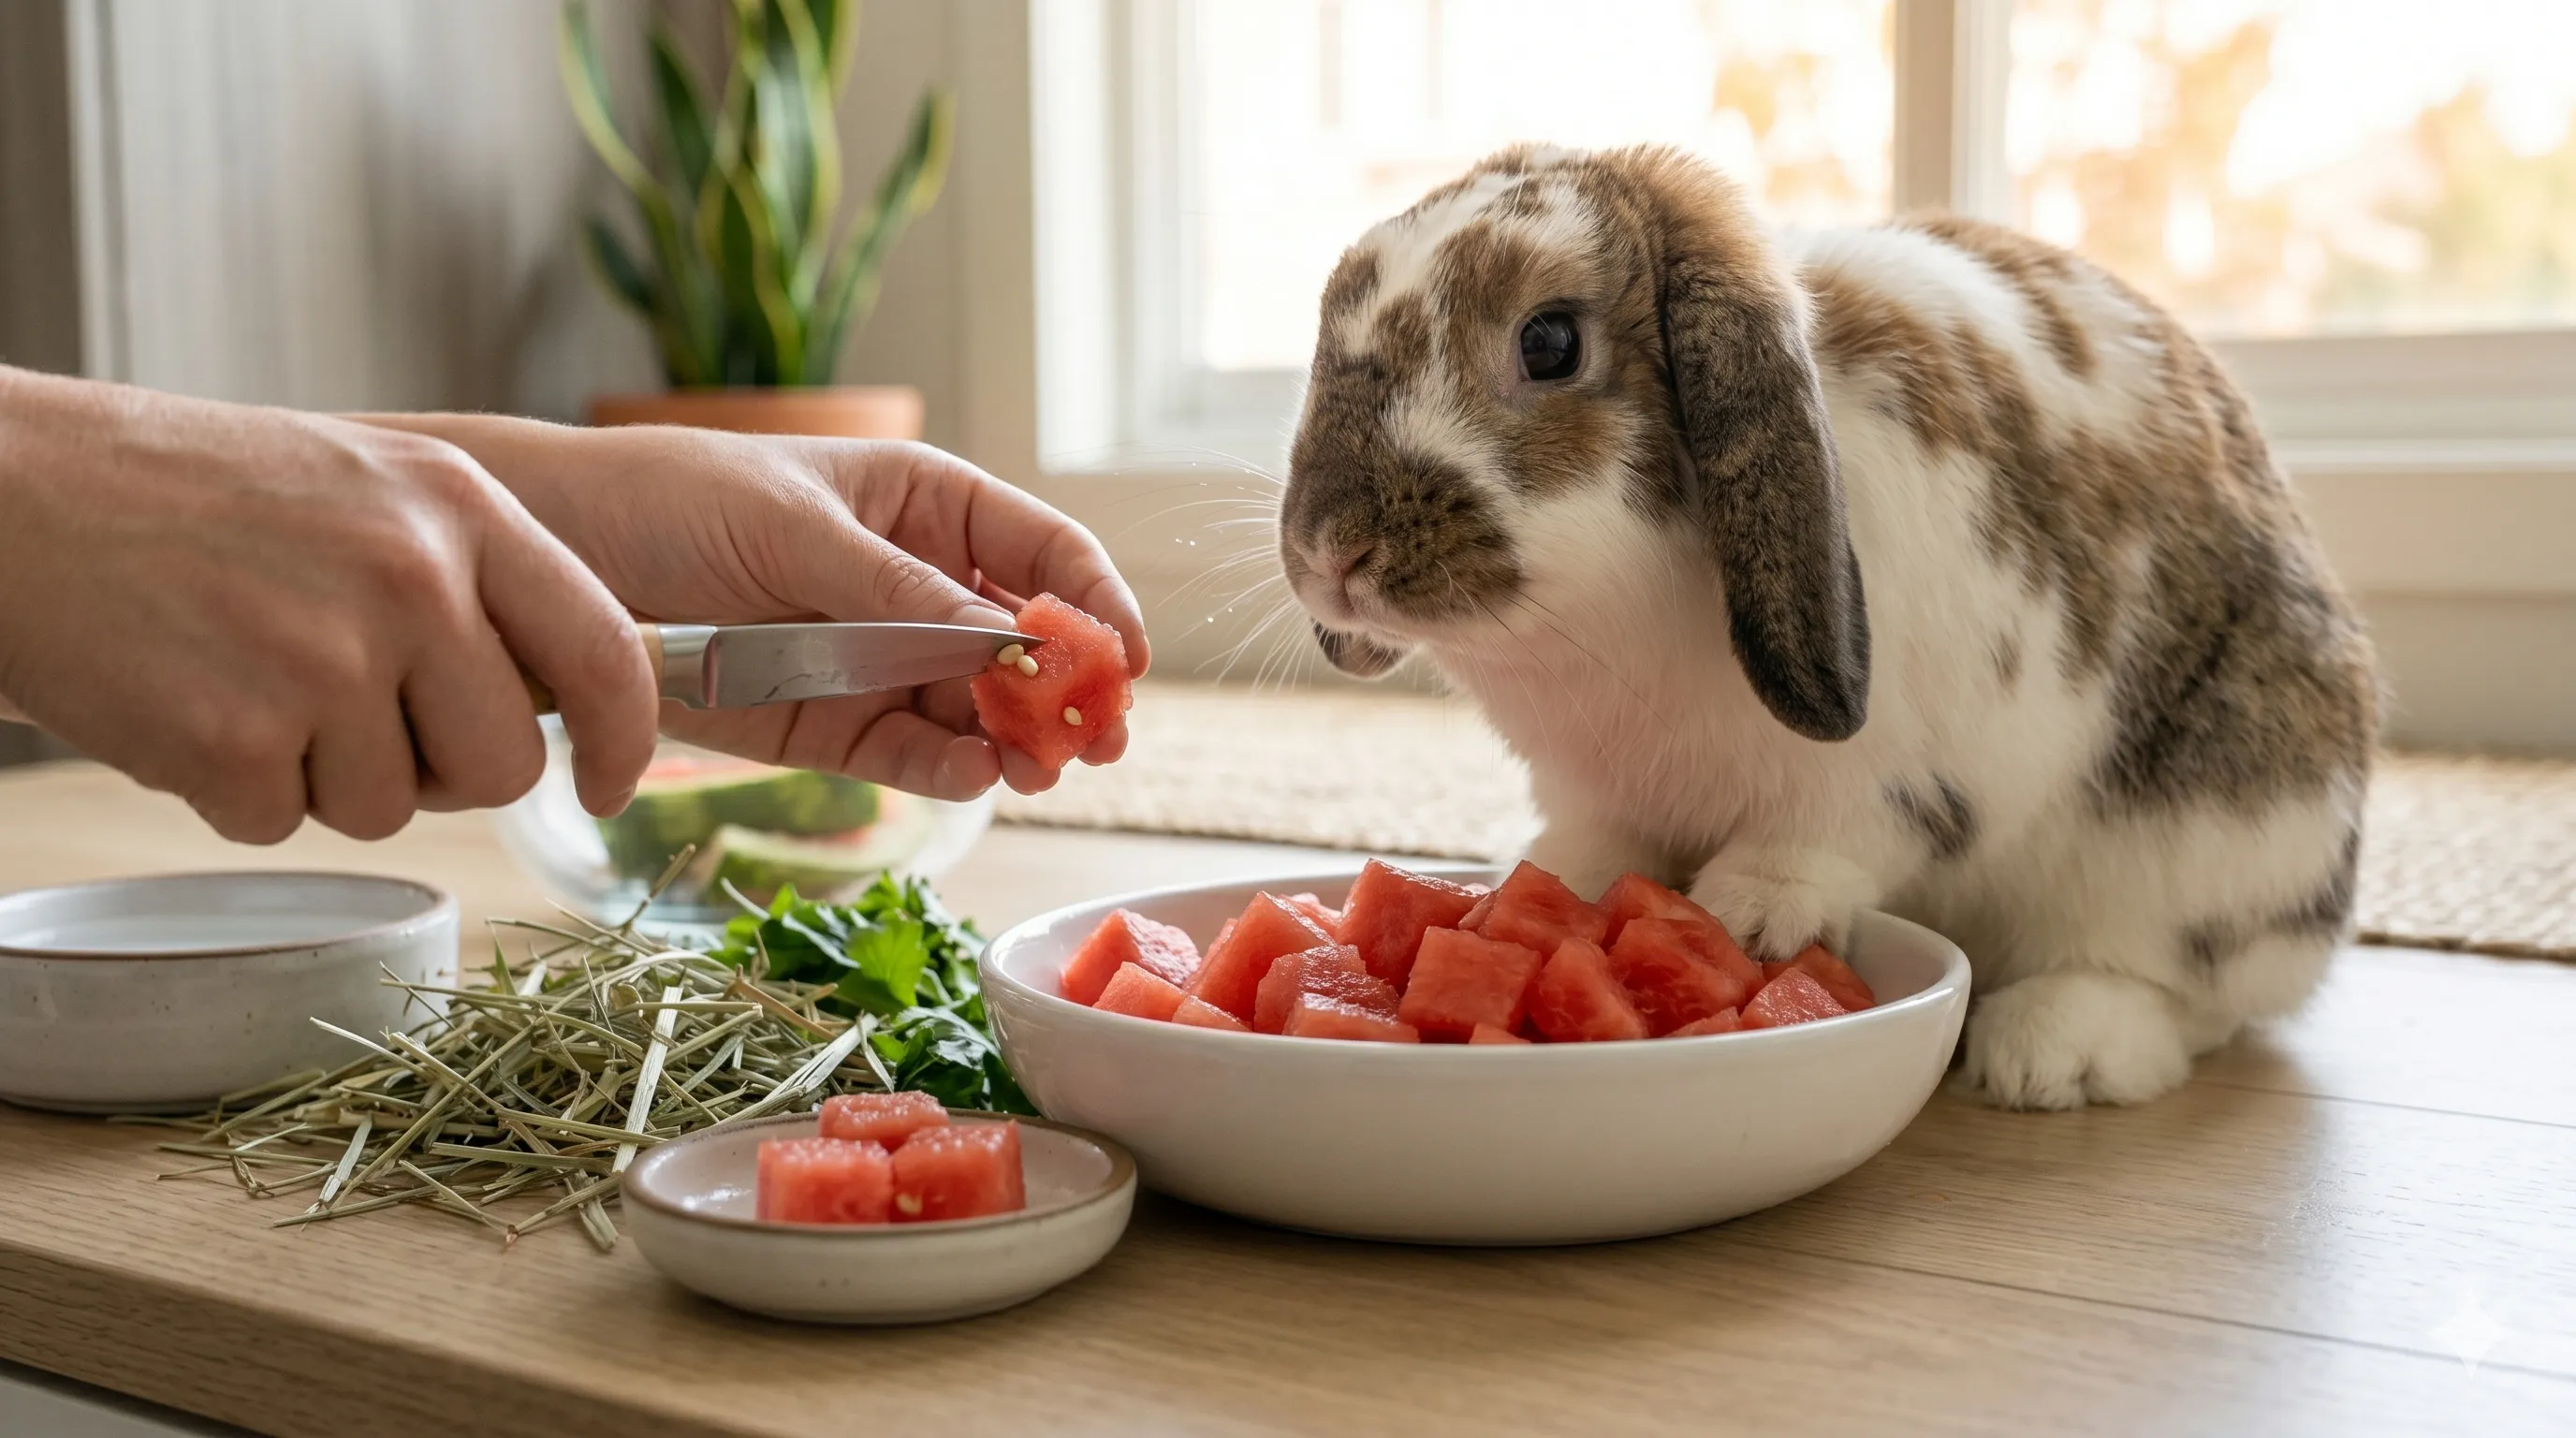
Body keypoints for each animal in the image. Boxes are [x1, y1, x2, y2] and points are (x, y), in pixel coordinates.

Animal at [1275, 144, 2378, 1109]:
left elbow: (1822, 837)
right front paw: (1543, 889)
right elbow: (1592, 846)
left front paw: (1749, 917)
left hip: (2219, 837)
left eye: (1549, 342)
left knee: (2188, 989)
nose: (1332, 552)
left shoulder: (1887, 768)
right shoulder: (1592, 789)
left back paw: (2054, 1051)